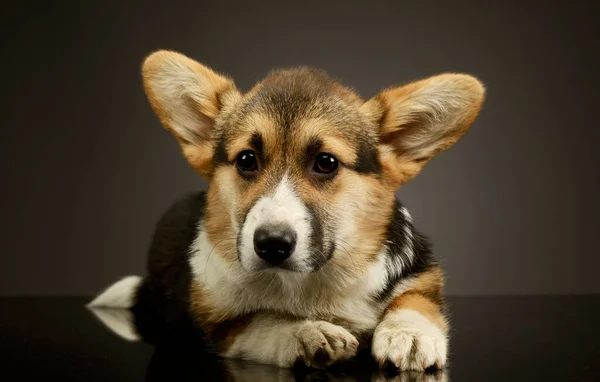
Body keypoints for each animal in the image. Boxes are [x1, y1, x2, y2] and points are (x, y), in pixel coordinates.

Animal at [88, 49, 482, 372]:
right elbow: (262, 321)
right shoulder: (215, 323)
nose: (271, 244)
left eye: (326, 163)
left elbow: (416, 299)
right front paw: (305, 334)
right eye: (247, 160)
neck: (309, 281)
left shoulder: (423, 273)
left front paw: (410, 334)